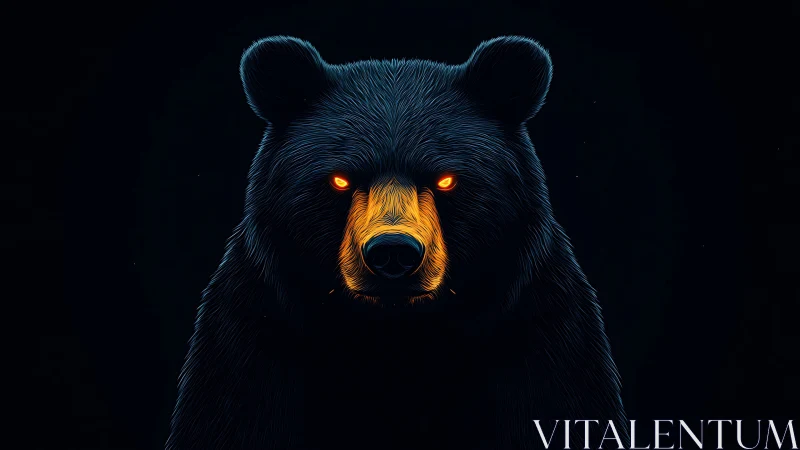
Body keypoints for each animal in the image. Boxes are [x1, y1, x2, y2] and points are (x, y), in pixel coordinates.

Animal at [166, 36, 629, 450]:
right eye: (340, 179)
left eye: (446, 179)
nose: (393, 252)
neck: (397, 339)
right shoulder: (256, 333)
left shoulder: (536, 330)